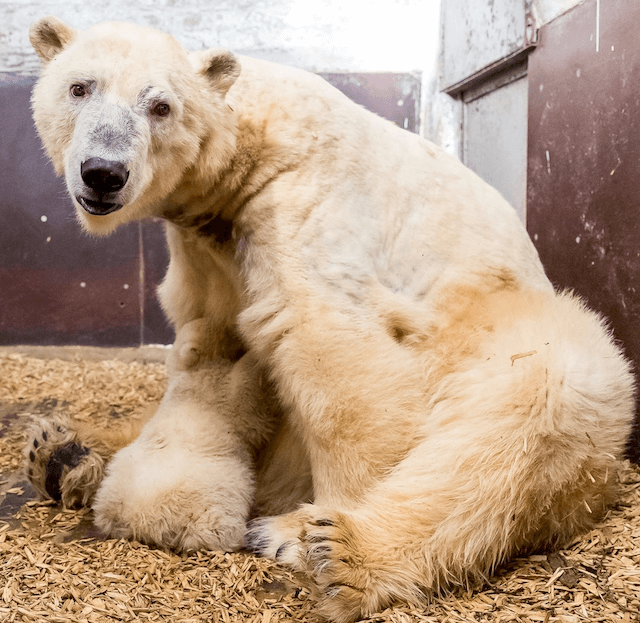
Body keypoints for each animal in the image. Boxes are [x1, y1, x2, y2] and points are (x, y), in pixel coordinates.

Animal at [28, 15, 636, 623]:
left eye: (161, 106)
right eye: (79, 87)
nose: (103, 172)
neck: (248, 148)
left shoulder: (303, 192)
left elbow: (324, 337)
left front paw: (314, 530)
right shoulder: (206, 246)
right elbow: (211, 342)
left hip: (490, 330)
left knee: (525, 406)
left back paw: (342, 549)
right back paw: (62, 452)